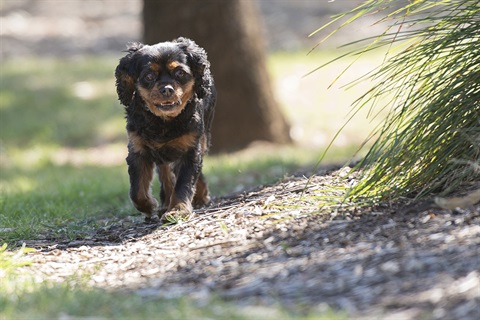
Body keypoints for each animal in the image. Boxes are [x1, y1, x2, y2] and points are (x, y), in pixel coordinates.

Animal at [114, 37, 216, 222]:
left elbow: (184, 183)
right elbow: (136, 191)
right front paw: (149, 206)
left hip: (203, 139)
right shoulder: (138, 151)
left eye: (180, 73)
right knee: (165, 173)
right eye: (148, 76)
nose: (167, 89)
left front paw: (177, 210)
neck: (163, 122)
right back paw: (165, 203)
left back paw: (200, 196)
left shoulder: (190, 150)